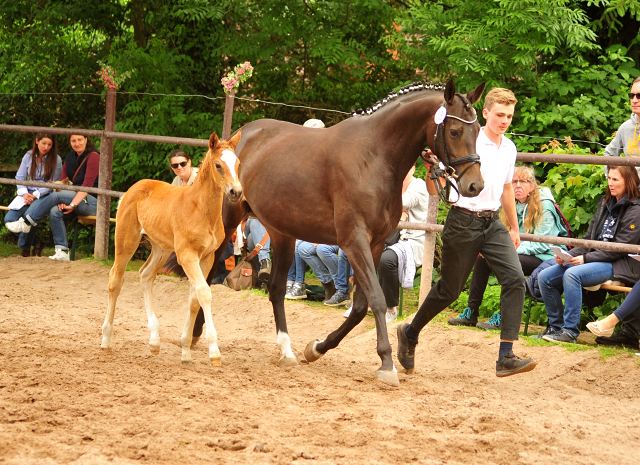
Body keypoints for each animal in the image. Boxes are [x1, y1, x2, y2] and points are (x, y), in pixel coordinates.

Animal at [102, 130, 242, 366]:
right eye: (218, 164)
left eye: (238, 163)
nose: (236, 191)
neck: (201, 209)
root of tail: (132, 189)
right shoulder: (187, 256)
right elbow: (204, 294)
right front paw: (214, 352)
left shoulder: (207, 257)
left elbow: (195, 299)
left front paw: (186, 351)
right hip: (126, 242)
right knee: (115, 280)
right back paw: (106, 339)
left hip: (161, 248)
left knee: (146, 275)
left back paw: (154, 341)